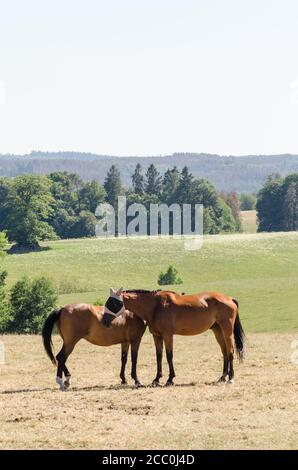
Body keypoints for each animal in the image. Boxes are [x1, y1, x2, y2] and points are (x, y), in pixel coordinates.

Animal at [101, 290, 246, 386]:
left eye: (114, 303)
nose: (104, 321)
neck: (155, 306)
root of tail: (229, 298)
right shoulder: (157, 336)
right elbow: (159, 356)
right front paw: (156, 379)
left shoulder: (167, 335)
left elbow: (169, 356)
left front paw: (170, 379)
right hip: (218, 331)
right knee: (225, 352)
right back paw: (222, 377)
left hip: (227, 331)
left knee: (230, 352)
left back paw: (231, 378)